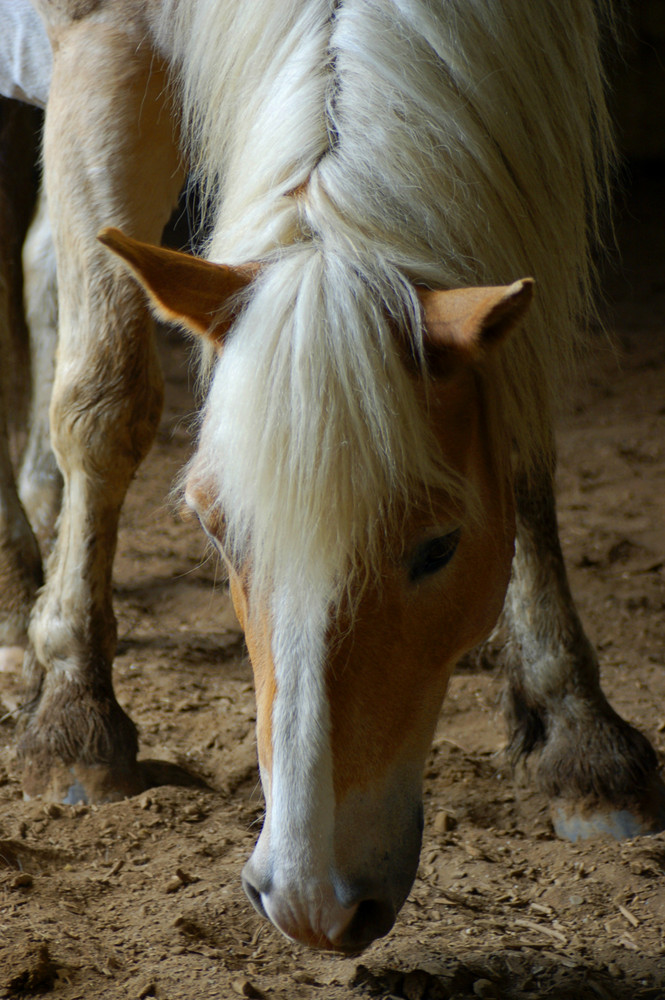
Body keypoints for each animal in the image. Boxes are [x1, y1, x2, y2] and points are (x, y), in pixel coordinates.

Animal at [0, 0, 660, 952]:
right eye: (214, 531)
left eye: (440, 546)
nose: (311, 902)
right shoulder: (98, 37)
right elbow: (105, 396)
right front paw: (74, 719)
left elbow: (523, 429)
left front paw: (581, 737)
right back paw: (20, 597)